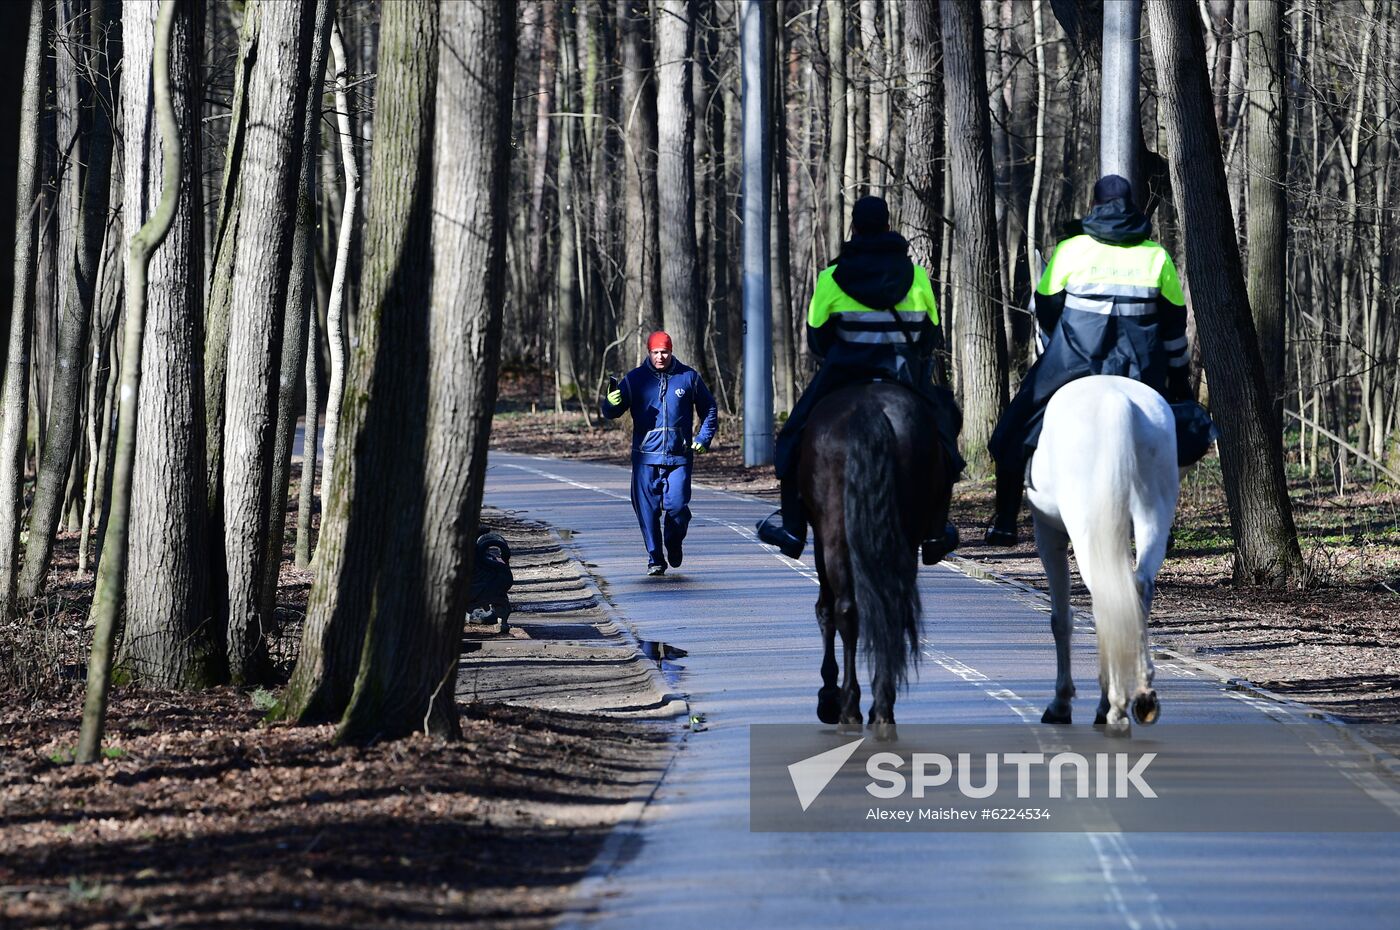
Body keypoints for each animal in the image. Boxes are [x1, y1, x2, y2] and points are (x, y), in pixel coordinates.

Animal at [800, 380, 952, 739]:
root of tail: (869, 410)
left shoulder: (820, 538)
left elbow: (825, 610)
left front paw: (828, 696)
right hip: (905, 537)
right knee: (891, 611)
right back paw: (883, 710)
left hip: (834, 534)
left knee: (844, 611)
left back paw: (848, 710)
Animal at [1030, 375, 1181, 739]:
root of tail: (1117, 402)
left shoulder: (1049, 534)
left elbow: (1061, 620)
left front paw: (1061, 703)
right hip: (1152, 517)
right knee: (1137, 589)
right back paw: (1140, 696)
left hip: (1088, 532)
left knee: (1107, 600)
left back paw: (1113, 707)